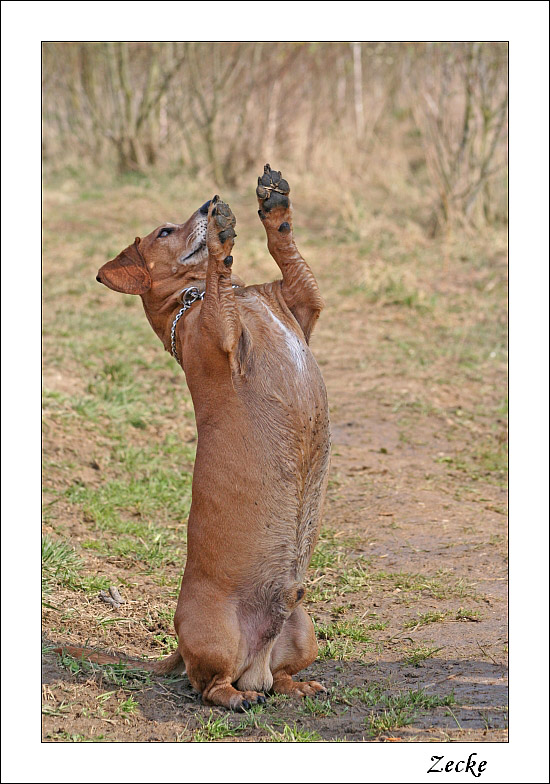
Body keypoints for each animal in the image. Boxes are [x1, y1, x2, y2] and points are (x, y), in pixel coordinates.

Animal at [57, 164, 330, 712]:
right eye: (165, 231)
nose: (209, 203)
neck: (192, 300)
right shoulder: (221, 335)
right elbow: (218, 273)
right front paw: (222, 239)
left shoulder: (303, 304)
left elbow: (287, 248)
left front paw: (275, 204)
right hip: (216, 634)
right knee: (207, 686)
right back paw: (235, 697)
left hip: (303, 628)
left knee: (279, 678)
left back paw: (297, 685)